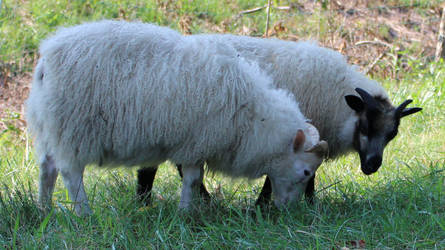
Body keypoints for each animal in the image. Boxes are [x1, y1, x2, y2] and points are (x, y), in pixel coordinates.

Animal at [26, 20, 326, 215]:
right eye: (306, 171)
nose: (288, 212)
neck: (252, 117)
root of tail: (45, 60)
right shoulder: (195, 142)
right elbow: (192, 179)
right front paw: (185, 212)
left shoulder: (194, 144)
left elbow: (190, 178)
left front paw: (186, 211)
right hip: (73, 128)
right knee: (70, 173)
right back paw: (84, 213)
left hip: (50, 125)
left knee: (47, 168)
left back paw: (44, 209)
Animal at [137, 33, 422, 205]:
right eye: (365, 125)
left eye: (392, 134)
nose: (372, 166)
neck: (336, 98)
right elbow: (291, 174)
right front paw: (275, 205)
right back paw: (153, 202)